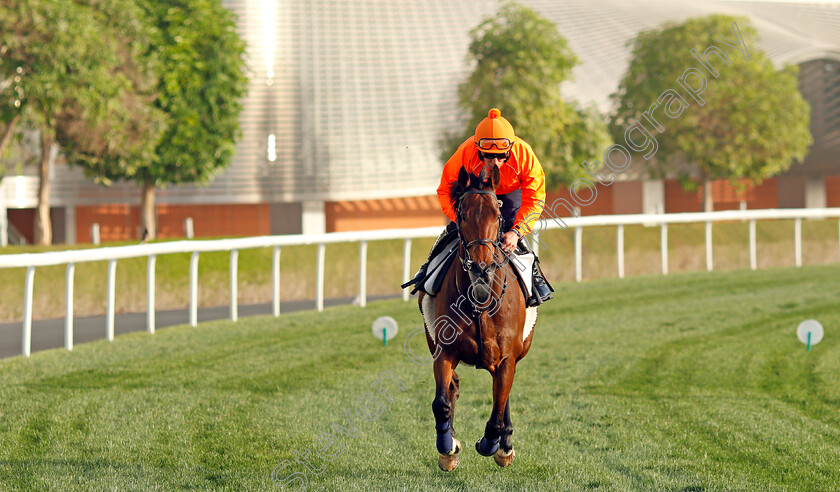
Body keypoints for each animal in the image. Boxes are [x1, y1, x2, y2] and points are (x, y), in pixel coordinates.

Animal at [418, 164, 540, 468]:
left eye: (497, 215)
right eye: (462, 215)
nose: (481, 268)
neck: (481, 300)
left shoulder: (507, 357)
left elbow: (497, 412)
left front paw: (493, 445)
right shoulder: (444, 351)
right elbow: (442, 402)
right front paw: (447, 448)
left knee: (502, 399)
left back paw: (503, 446)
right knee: (454, 389)